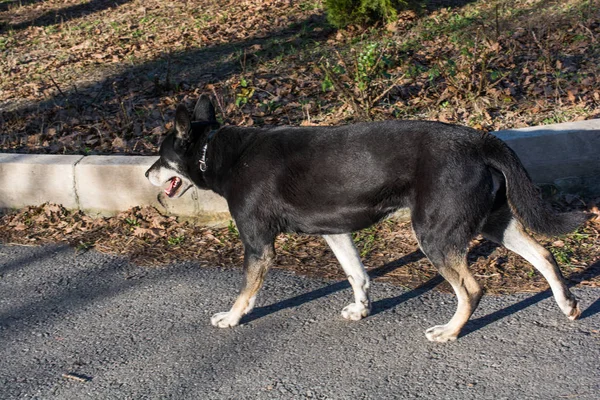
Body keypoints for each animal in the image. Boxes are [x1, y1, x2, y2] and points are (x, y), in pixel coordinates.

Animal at [146, 95, 592, 342]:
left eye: (162, 156)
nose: (146, 173)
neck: (217, 151)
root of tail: (480, 139)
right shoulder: (335, 231)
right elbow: (356, 273)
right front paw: (361, 309)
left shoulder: (258, 245)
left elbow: (246, 292)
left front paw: (231, 318)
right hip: (492, 221)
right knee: (543, 254)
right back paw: (567, 304)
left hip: (434, 233)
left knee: (471, 288)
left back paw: (450, 332)